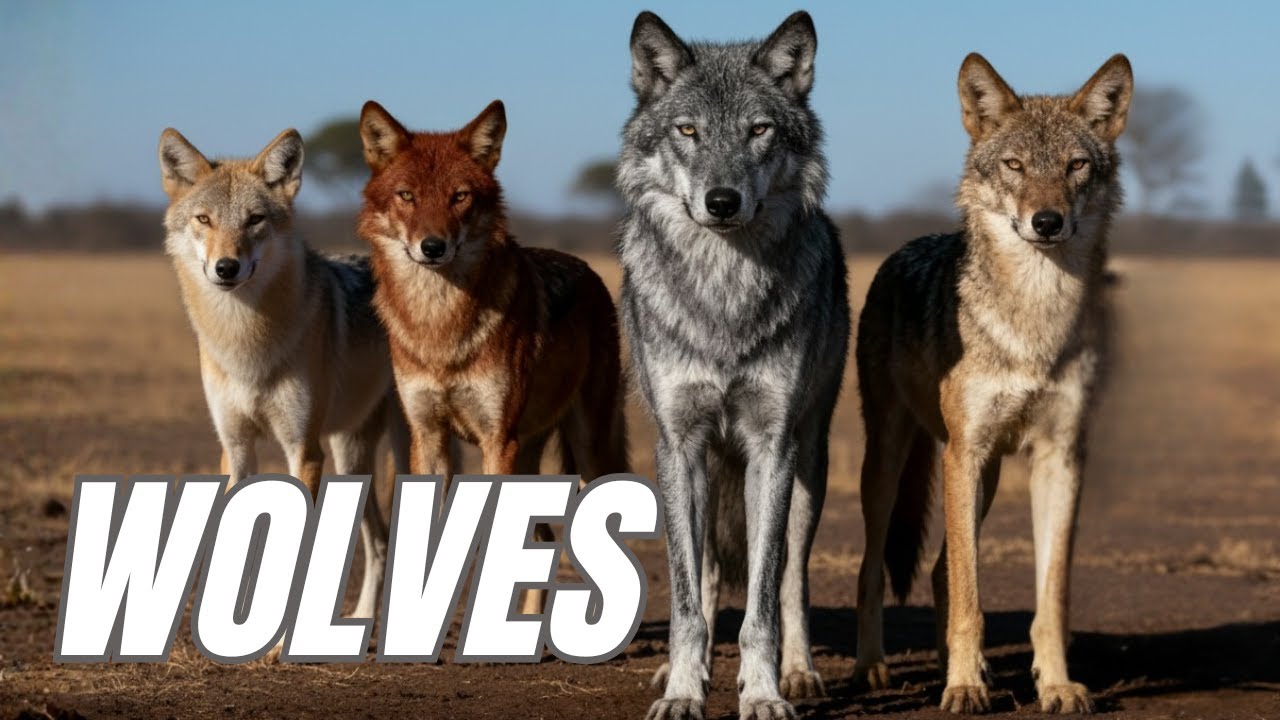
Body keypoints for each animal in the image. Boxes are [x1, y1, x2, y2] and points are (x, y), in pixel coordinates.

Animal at [158, 128, 407, 631]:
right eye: (204, 219)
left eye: (254, 220)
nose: (226, 267)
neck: (245, 345)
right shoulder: (234, 447)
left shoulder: (303, 449)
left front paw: (281, 642)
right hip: (351, 458)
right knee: (378, 540)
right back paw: (362, 618)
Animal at [356, 101, 629, 612]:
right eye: (407, 196)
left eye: (459, 196)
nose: (433, 246)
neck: (440, 328)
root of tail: (591, 274)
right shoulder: (428, 435)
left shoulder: (496, 439)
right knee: (543, 540)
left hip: (587, 448)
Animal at [617, 11, 850, 720]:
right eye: (688, 130)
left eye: (759, 130)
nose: (721, 201)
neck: (724, 292)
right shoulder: (678, 445)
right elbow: (689, 598)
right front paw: (683, 690)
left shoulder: (773, 448)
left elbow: (766, 601)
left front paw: (765, 692)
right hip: (711, 465)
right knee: (710, 573)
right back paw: (677, 673)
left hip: (808, 465)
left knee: (792, 580)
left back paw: (799, 673)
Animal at [852, 53, 1133, 714]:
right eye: (1015, 166)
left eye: (1076, 165)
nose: (1047, 221)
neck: (1035, 321)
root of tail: (901, 250)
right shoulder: (965, 453)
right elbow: (971, 599)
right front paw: (962, 688)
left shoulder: (1061, 457)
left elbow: (1050, 598)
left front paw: (1055, 685)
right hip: (895, 462)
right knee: (873, 570)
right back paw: (875, 669)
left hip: (988, 473)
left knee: (940, 571)